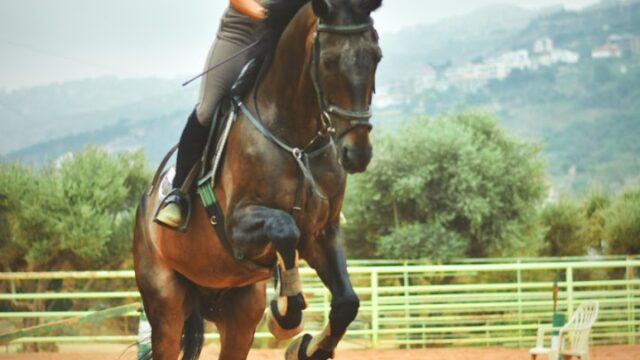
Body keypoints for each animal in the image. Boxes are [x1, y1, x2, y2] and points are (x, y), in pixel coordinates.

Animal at [131, 1, 380, 358]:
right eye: (329, 61)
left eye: (376, 56)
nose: (357, 153)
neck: (297, 142)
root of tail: (144, 203)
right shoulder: (236, 228)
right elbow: (284, 229)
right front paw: (286, 314)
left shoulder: (322, 232)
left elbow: (346, 302)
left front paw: (307, 346)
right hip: (166, 303)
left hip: (237, 311)